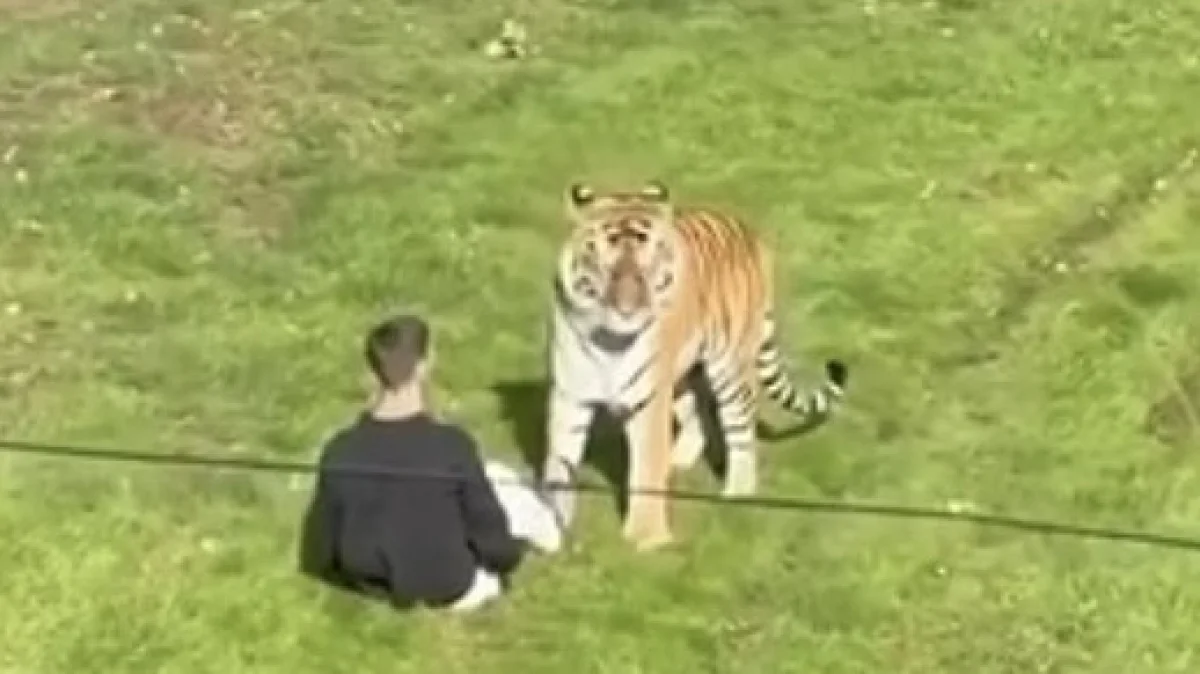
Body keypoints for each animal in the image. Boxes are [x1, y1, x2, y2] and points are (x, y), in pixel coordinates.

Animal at [540, 180, 849, 551]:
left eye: (650, 262)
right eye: (605, 262)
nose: (630, 307)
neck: (608, 338)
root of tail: (750, 234)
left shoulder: (647, 402)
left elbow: (645, 469)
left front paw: (646, 539)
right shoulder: (569, 395)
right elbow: (558, 463)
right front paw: (549, 529)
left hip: (729, 369)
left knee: (740, 430)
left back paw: (736, 495)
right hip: (683, 373)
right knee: (697, 410)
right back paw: (679, 461)